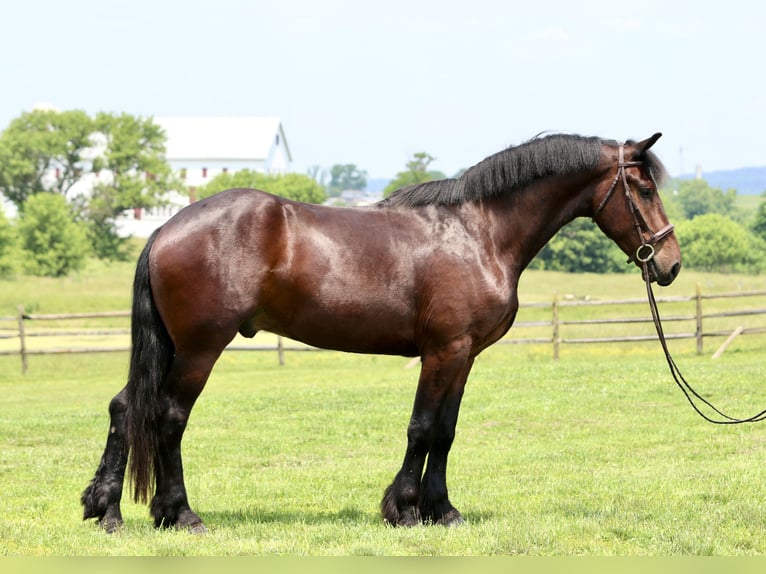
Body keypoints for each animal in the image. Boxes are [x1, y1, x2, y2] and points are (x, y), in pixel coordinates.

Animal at [82, 132, 681, 533]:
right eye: (643, 187)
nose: (670, 264)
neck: (480, 233)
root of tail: (167, 227)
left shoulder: (463, 356)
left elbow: (446, 431)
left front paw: (443, 510)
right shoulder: (443, 351)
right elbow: (422, 428)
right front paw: (406, 509)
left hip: (174, 348)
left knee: (125, 407)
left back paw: (106, 509)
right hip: (199, 348)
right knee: (167, 417)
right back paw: (179, 514)